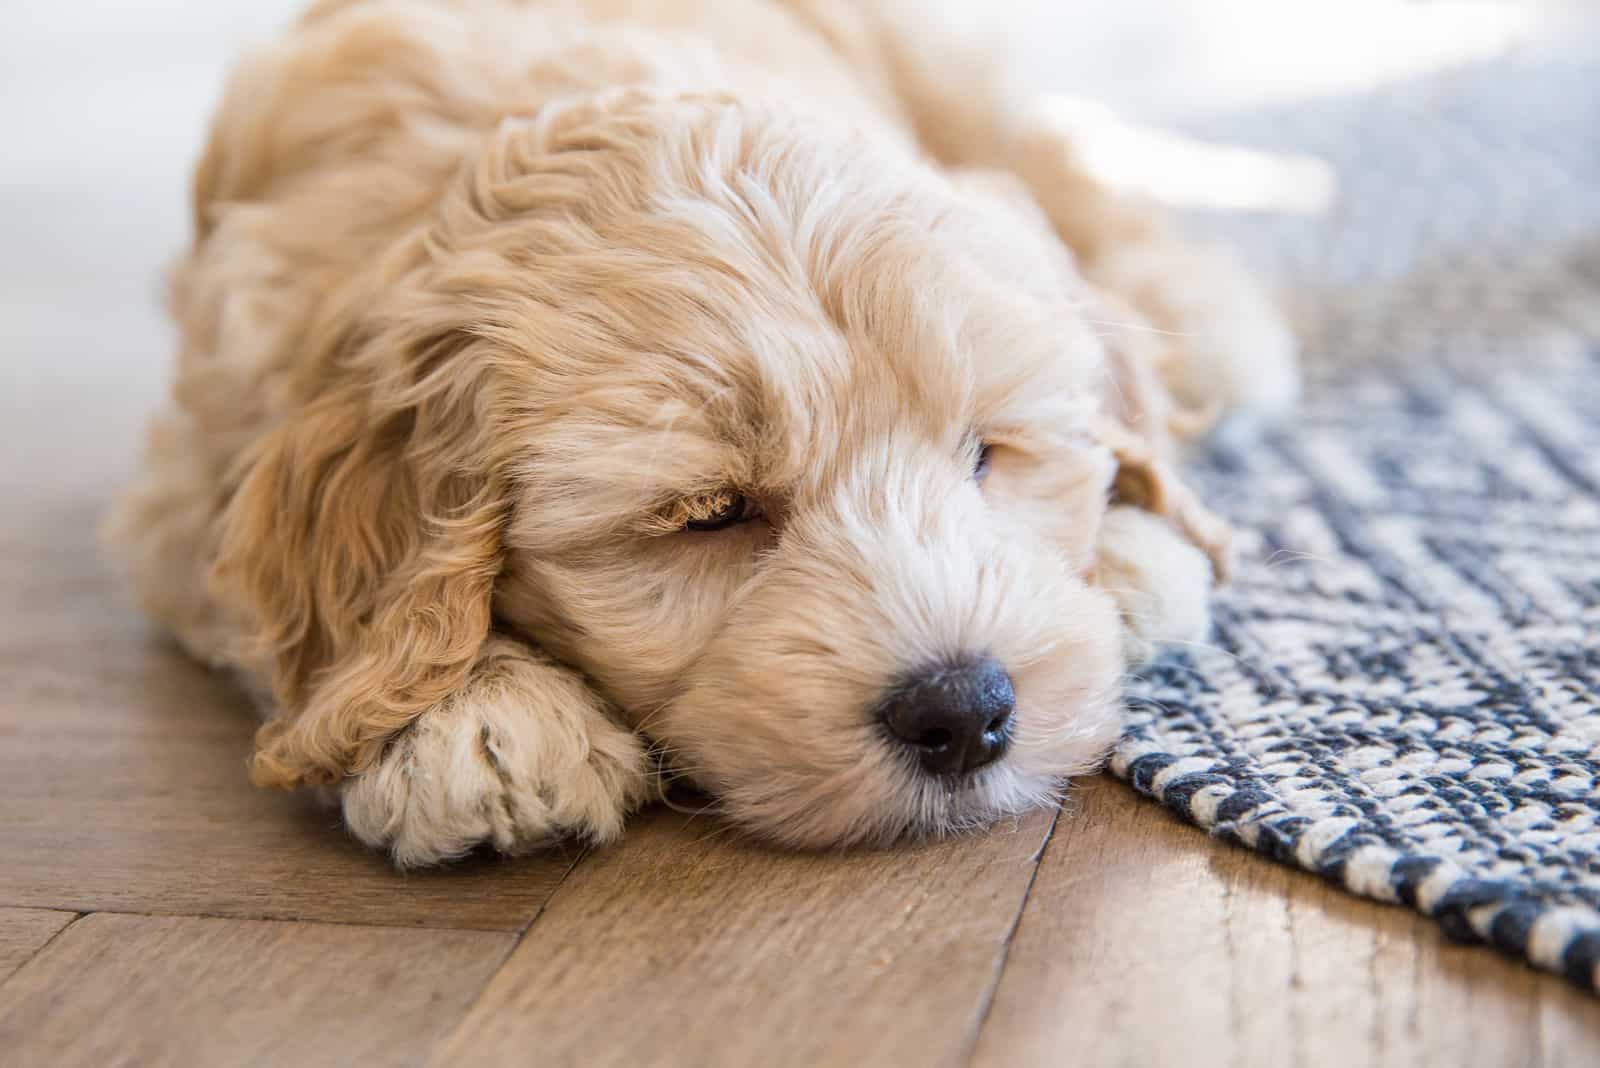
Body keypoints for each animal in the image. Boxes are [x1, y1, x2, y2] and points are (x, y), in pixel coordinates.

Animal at [106, 0, 1292, 863]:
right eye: (708, 515)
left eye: (985, 454)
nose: (963, 713)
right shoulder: (198, 464)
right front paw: (472, 721)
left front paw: (1131, 548)